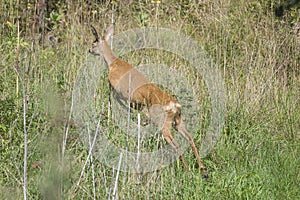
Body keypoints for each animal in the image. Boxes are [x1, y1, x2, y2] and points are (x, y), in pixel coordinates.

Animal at [88, 24, 207, 179]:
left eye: (94, 42)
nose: (89, 50)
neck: (112, 63)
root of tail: (175, 106)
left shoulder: (117, 89)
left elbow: (118, 101)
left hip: (163, 123)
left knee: (176, 144)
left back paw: (186, 171)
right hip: (178, 122)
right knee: (190, 138)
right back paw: (203, 170)